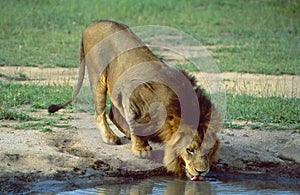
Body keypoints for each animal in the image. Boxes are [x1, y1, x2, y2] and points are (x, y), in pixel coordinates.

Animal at [48, 20, 221, 181]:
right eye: (189, 149)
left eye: (209, 150)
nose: (201, 171)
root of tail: (92, 24)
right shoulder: (131, 95)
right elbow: (136, 124)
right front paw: (141, 149)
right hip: (98, 77)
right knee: (100, 113)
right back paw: (110, 137)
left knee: (112, 113)